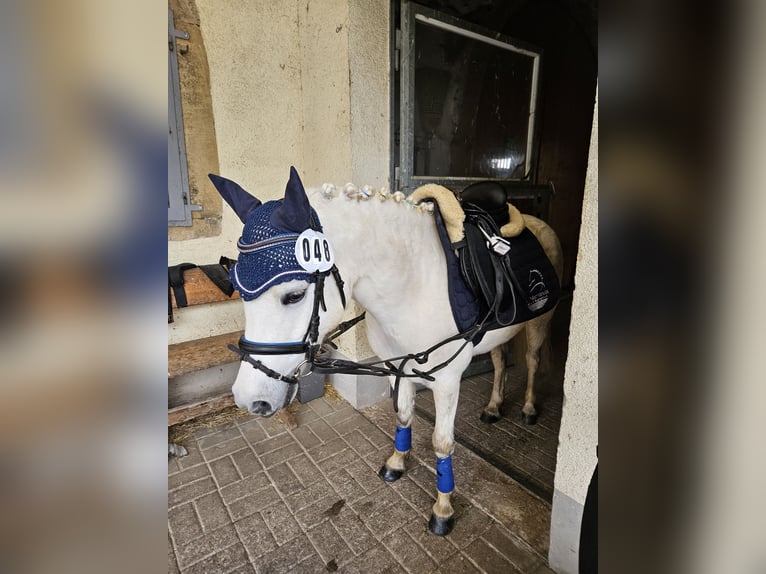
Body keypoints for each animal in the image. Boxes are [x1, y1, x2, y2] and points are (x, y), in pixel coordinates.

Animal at [210, 169, 564, 536]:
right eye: (239, 292)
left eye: (294, 295)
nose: (249, 399)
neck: (414, 285)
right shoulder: (399, 367)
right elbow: (404, 416)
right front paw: (397, 462)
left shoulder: (447, 381)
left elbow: (442, 442)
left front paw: (443, 509)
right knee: (499, 362)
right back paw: (494, 407)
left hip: (539, 324)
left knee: (532, 361)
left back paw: (528, 408)